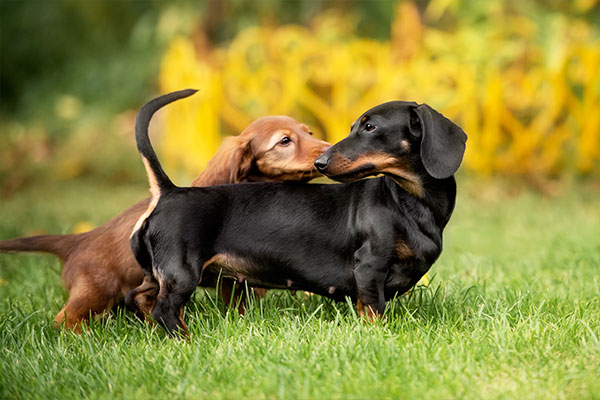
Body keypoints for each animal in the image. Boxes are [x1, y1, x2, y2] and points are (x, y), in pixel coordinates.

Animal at [0, 111, 330, 332]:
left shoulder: (234, 279)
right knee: (64, 319)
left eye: (309, 132)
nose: (329, 151)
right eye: (284, 141)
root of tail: (78, 240)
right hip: (94, 292)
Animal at [127, 89, 466, 336]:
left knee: (141, 298)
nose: (321, 162)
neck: (406, 203)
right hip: (182, 272)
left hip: (158, 273)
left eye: (370, 127)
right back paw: (184, 340)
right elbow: (373, 311)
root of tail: (170, 191)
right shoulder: (370, 267)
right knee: (165, 310)